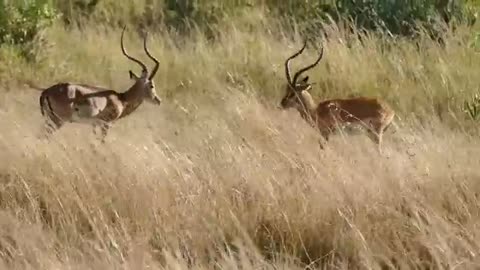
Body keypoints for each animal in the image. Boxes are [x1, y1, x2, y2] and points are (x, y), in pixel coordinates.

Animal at [28, 26, 163, 142]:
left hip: (50, 120)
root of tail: (46, 92)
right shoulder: (106, 124)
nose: (158, 100)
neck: (121, 99)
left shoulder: (94, 125)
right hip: (58, 121)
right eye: (152, 85)